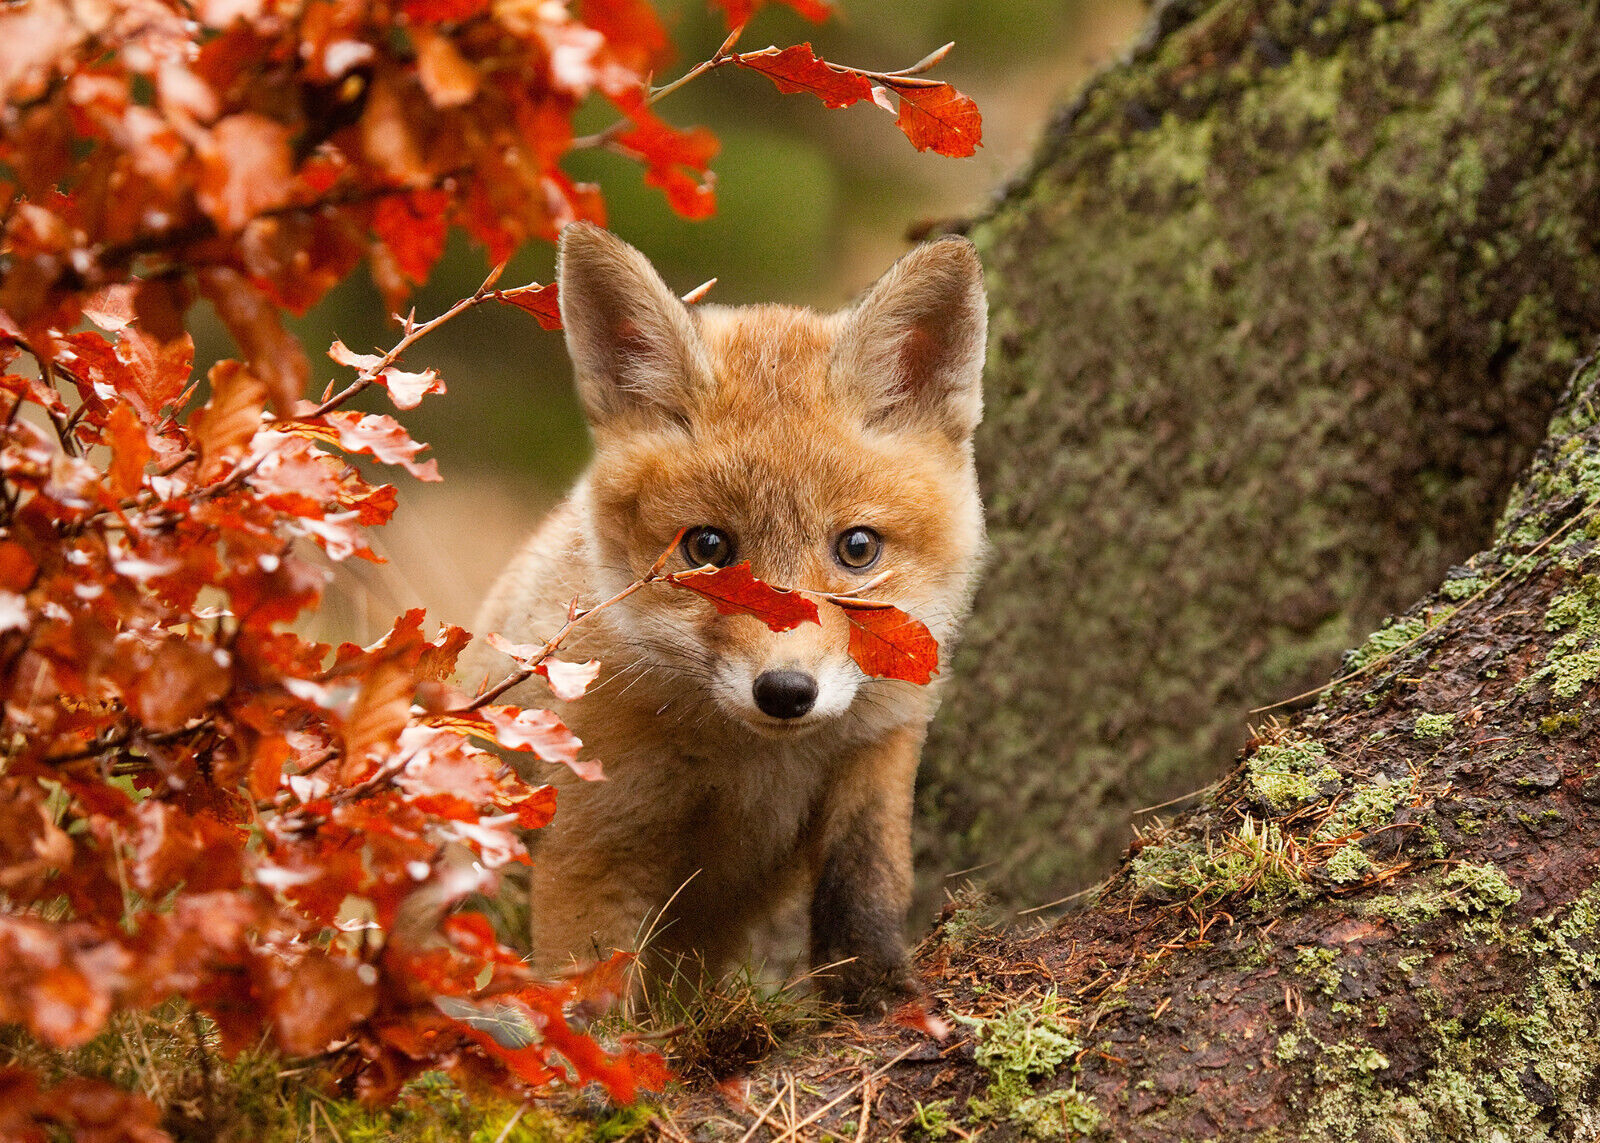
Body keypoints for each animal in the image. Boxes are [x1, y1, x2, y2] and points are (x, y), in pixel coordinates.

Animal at [465, 222, 987, 1010]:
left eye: (857, 548)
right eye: (707, 548)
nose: (786, 692)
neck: (755, 769)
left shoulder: (879, 752)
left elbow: (864, 886)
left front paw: (878, 992)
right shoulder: (597, 829)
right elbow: (585, 983)